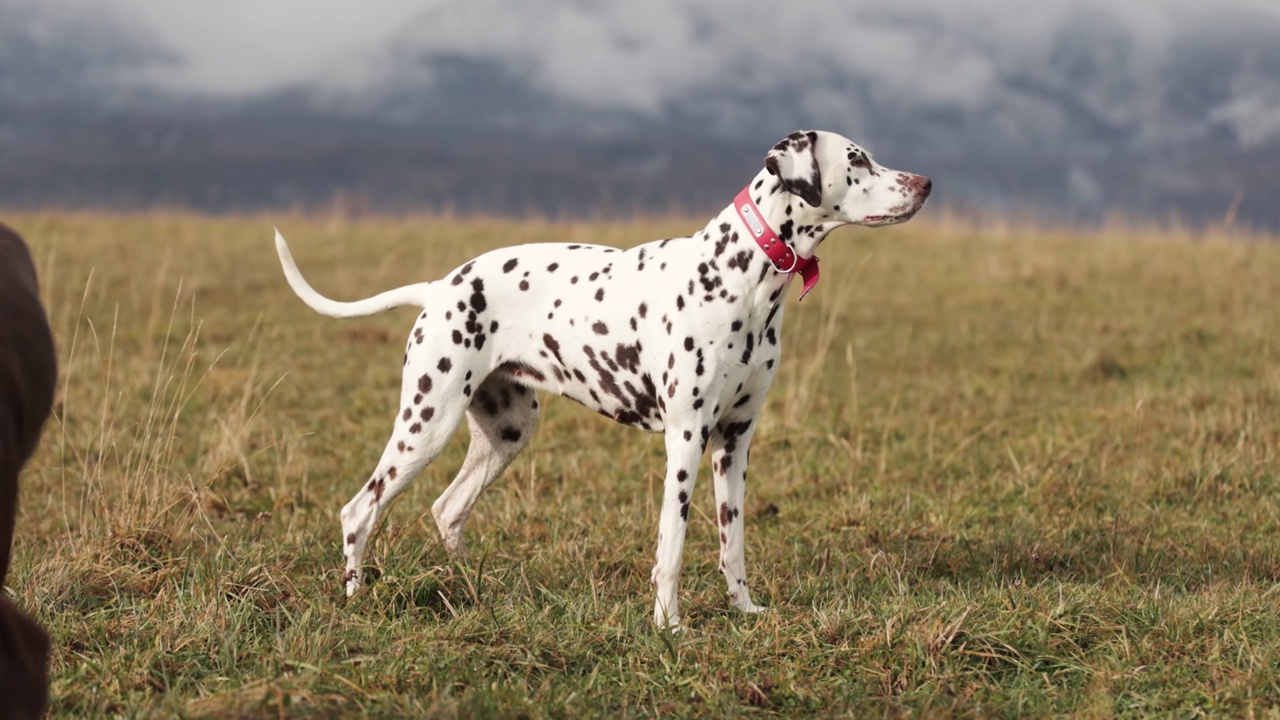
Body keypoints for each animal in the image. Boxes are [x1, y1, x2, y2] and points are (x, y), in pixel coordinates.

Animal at [277, 130, 931, 627]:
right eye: (858, 160)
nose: (925, 184)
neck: (740, 277)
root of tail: (441, 287)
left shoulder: (735, 441)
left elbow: (733, 542)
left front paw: (744, 611)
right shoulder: (686, 440)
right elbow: (672, 545)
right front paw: (669, 626)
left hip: (506, 433)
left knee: (448, 508)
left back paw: (472, 592)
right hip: (425, 424)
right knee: (360, 511)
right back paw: (357, 598)